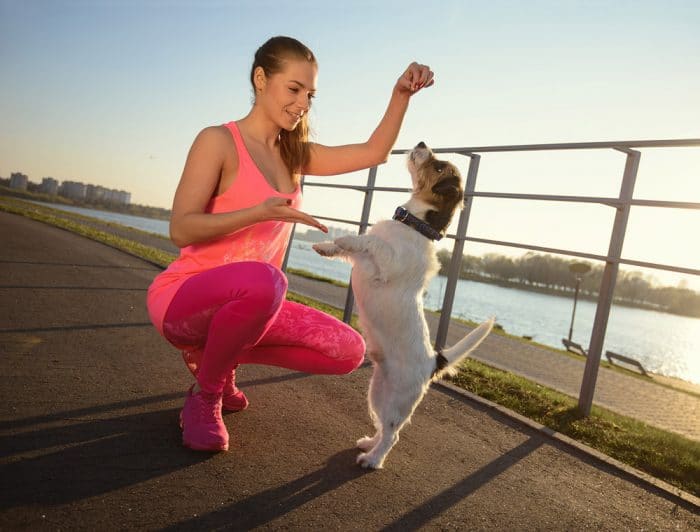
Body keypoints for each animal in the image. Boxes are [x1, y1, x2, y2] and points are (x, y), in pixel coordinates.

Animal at [314, 142, 494, 470]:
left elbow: (369, 241)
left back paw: (372, 460)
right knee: (382, 427)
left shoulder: (385, 263)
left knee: (393, 436)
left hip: (398, 401)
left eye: (439, 166)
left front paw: (343, 237)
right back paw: (369, 444)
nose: (422, 143)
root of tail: (433, 362)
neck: (416, 226)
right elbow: (361, 243)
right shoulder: (363, 261)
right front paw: (326, 246)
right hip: (377, 392)